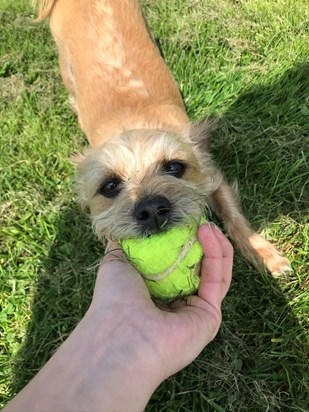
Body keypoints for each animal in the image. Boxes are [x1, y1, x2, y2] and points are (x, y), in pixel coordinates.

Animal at [33, 0, 292, 276]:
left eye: (175, 167)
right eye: (109, 186)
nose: (151, 209)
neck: (136, 123)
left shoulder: (211, 175)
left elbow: (233, 215)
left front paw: (264, 254)